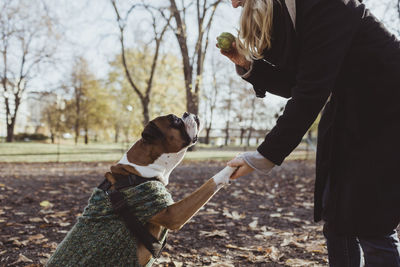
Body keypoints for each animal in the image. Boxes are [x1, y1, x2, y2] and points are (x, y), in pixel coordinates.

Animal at [46, 113, 236, 267]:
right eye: (175, 120)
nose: (188, 113)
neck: (136, 174)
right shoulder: (170, 212)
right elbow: (210, 183)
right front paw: (234, 165)